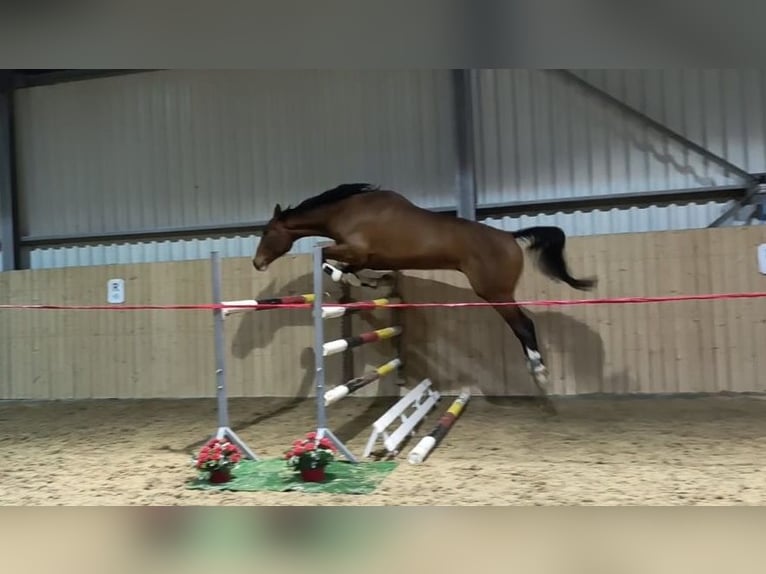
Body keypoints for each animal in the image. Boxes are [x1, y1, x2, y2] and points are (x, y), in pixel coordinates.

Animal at [253, 183, 596, 411]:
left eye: (268, 232)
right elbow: (353, 269)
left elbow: (326, 257)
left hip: (495, 294)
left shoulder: (354, 249)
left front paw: (346, 278)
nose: (257, 263)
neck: (349, 211)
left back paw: (539, 373)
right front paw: (372, 282)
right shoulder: (365, 257)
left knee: (524, 325)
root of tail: (509, 236)